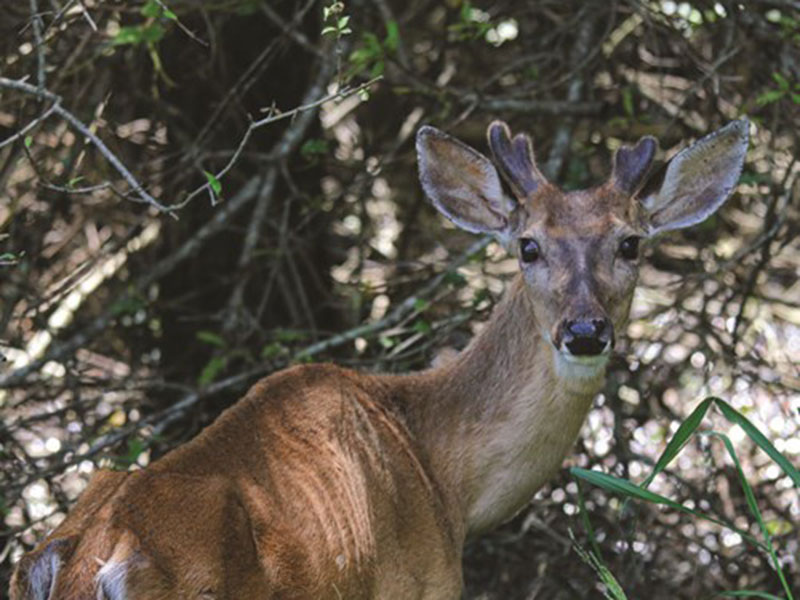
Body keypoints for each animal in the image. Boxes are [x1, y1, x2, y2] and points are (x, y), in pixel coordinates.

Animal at [10, 118, 752, 600]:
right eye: (529, 246)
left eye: (630, 243)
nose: (586, 330)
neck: (445, 477)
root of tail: (95, 561)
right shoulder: (420, 584)